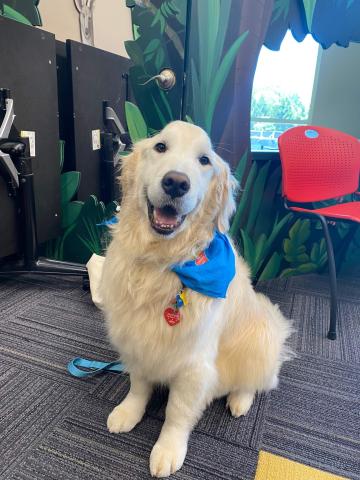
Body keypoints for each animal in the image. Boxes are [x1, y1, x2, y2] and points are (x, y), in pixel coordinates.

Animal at [101, 119, 292, 476]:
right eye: (160, 147)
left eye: (204, 160)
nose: (176, 182)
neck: (163, 264)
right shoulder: (137, 339)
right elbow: (138, 385)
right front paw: (128, 412)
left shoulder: (194, 365)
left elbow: (176, 412)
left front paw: (168, 449)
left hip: (260, 338)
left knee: (258, 379)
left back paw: (240, 400)